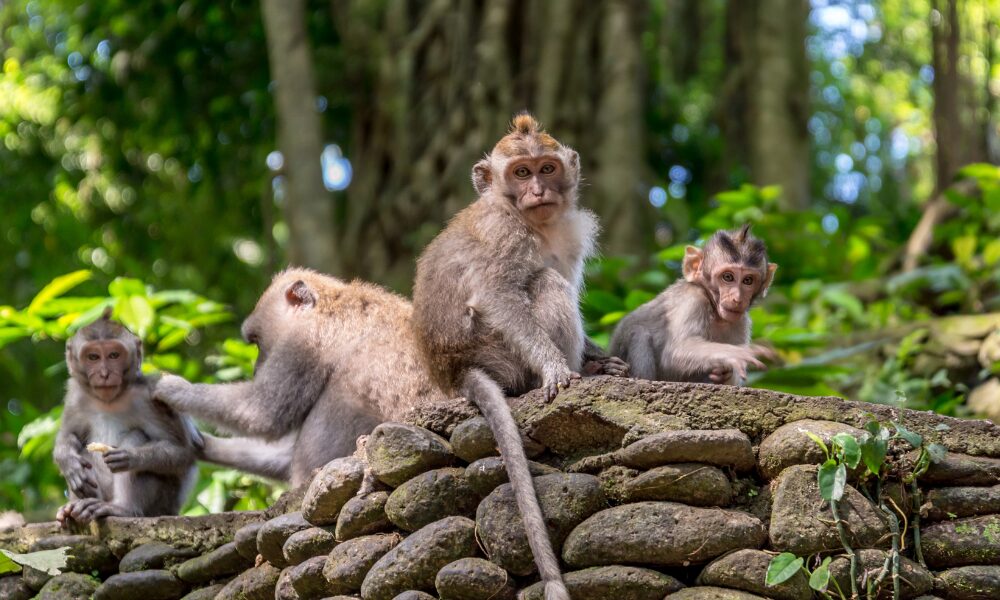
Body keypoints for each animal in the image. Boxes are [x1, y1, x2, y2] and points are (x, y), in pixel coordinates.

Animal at [53, 308, 199, 525]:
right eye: (93, 357)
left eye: (114, 355)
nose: (104, 374)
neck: (109, 401)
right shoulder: (75, 396)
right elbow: (69, 435)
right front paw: (68, 461)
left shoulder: (147, 398)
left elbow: (181, 452)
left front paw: (131, 456)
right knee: (83, 449)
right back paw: (75, 508)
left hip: (162, 503)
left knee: (137, 436)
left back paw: (122, 509)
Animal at [155, 269, 449, 486]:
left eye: (257, 342)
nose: (256, 368)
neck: (332, 304)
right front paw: (203, 446)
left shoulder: (303, 342)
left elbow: (263, 412)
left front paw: (173, 389)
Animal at [411, 114, 627, 600]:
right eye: (521, 173)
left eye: (547, 168)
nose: (539, 190)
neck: (526, 217)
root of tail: (456, 371)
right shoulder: (503, 233)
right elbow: (498, 294)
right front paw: (557, 368)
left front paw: (601, 357)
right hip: (498, 351)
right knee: (545, 283)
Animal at [609, 224, 777, 385]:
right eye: (728, 277)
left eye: (748, 280)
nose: (737, 298)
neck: (715, 311)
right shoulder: (693, 299)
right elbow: (676, 351)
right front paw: (737, 353)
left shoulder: (741, 322)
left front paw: (723, 372)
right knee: (638, 332)